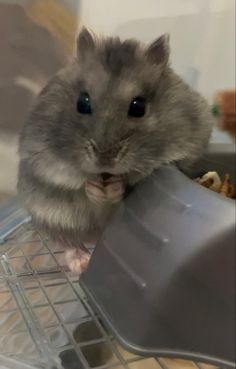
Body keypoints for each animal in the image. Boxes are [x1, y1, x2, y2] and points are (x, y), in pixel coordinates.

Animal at [17, 26, 213, 274]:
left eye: (138, 107)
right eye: (82, 102)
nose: (104, 158)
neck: (105, 174)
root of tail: (95, 238)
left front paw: (113, 188)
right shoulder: (42, 159)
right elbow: (76, 184)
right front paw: (93, 186)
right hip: (48, 217)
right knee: (67, 241)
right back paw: (80, 263)